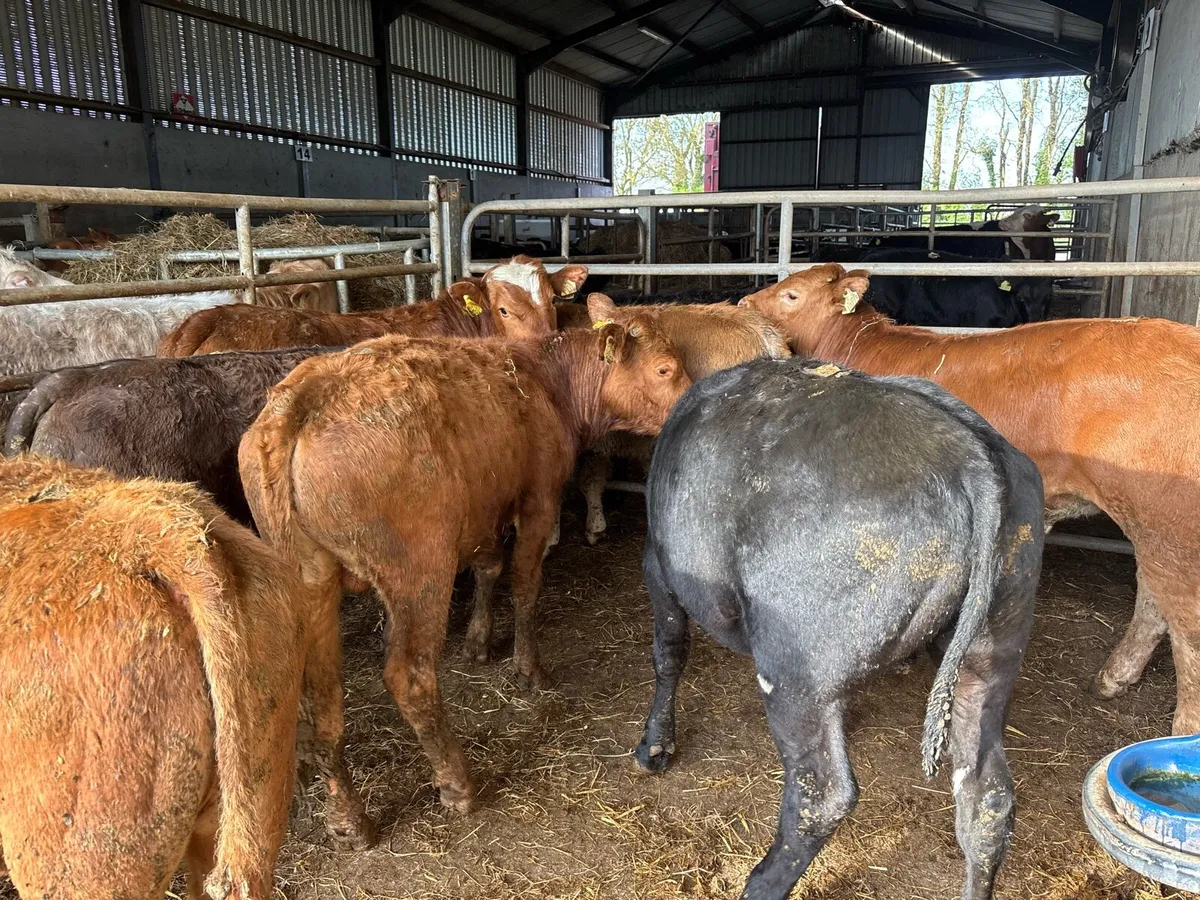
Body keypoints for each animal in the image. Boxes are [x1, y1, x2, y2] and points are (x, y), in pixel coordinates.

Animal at [238, 310, 690, 830]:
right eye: (665, 368)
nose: (694, 400)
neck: (543, 380)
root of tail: (299, 403)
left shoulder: (483, 510)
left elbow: (489, 568)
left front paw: (478, 640)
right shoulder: (539, 498)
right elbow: (525, 583)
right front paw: (528, 668)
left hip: (311, 580)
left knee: (320, 696)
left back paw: (348, 817)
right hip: (420, 570)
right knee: (409, 675)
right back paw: (456, 783)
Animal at [635, 356, 1043, 900]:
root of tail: (968, 455)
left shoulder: (657, 564)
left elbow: (668, 650)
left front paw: (655, 745)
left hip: (795, 674)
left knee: (822, 795)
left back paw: (759, 883)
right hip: (991, 654)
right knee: (987, 797)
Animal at [739, 263, 1200, 733]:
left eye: (791, 294)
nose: (743, 302)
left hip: (1165, 522)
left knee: (1186, 625)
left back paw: (1184, 725)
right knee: (1153, 598)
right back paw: (1114, 677)